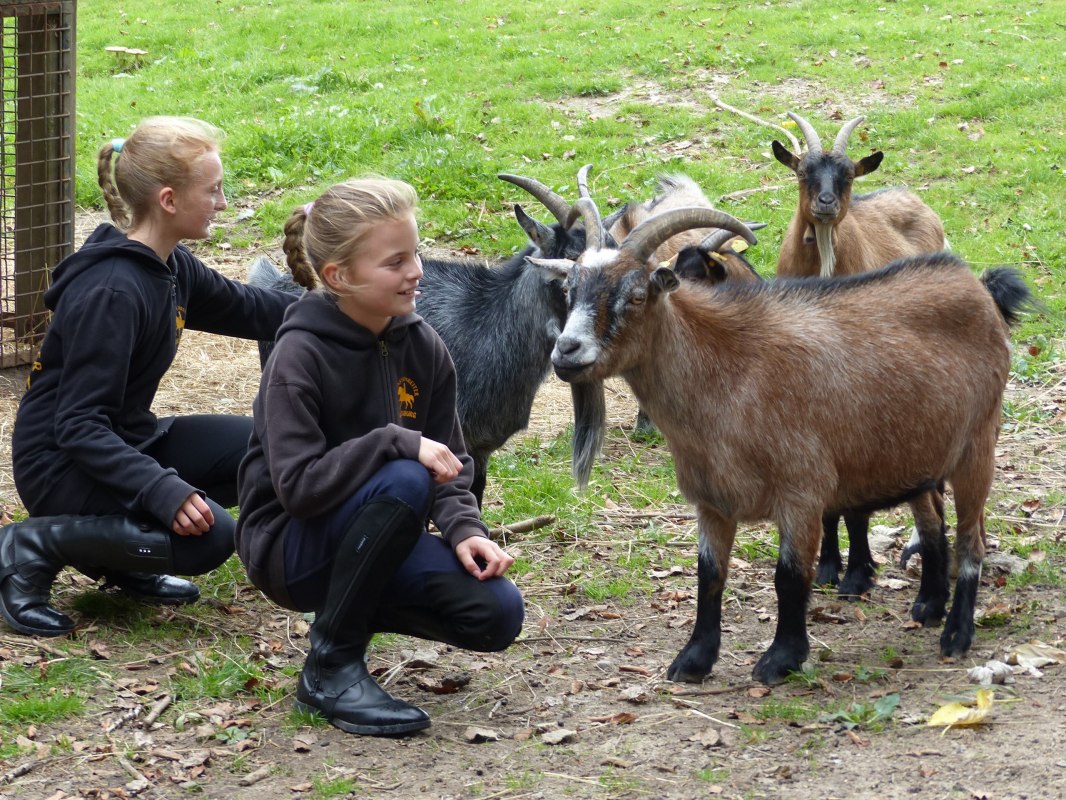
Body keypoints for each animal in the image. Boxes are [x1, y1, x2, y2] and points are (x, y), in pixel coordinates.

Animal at [532, 200, 1031, 685]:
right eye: (569, 291)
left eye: (636, 296)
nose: (566, 351)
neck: (729, 375)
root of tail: (973, 284)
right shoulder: (710, 500)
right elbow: (709, 575)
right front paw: (694, 660)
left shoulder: (802, 493)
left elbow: (789, 577)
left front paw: (781, 659)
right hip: (919, 456)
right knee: (932, 523)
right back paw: (929, 605)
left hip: (978, 446)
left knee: (972, 541)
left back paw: (957, 634)